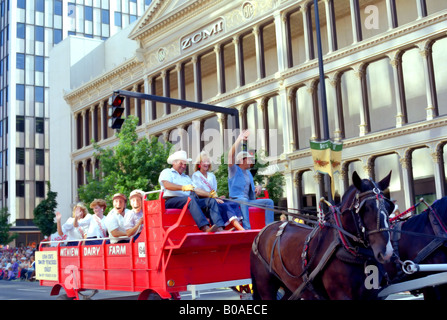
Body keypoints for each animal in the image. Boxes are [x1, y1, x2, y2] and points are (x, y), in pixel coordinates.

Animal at [252, 172, 396, 300]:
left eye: (390, 207)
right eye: (365, 208)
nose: (386, 252)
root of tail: (266, 228)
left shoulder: (374, 294)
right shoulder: (340, 295)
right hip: (265, 287)